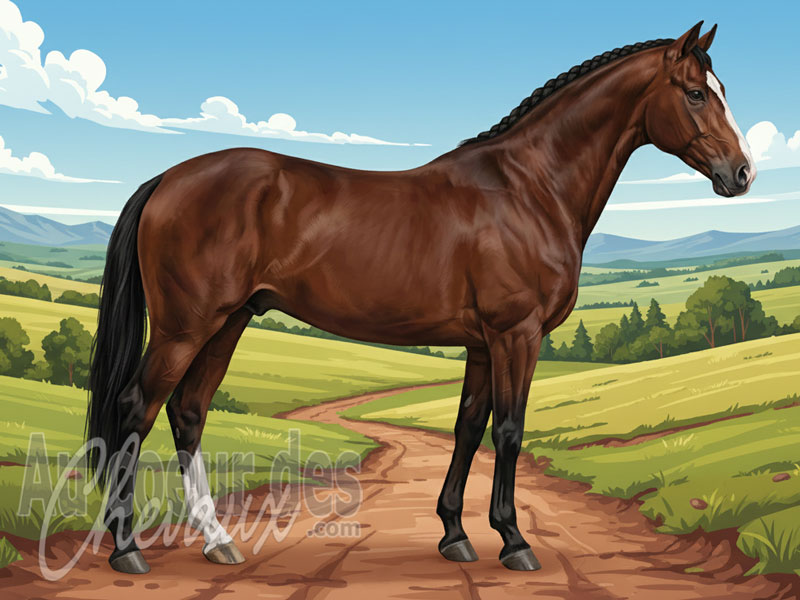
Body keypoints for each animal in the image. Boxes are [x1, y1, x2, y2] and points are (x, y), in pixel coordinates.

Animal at [87, 21, 755, 574]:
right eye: (696, 93)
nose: (742, 174)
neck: (529, 188)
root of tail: (168, 179)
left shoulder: (484, 343)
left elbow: (468, 428)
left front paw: (455, 535)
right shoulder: (517, 335)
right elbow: (509, 430)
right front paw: (514, 542)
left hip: (227, 323)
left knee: (188, 412)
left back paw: (217, 540)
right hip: (185, 327)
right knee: (136, 409)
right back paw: (126, 548)